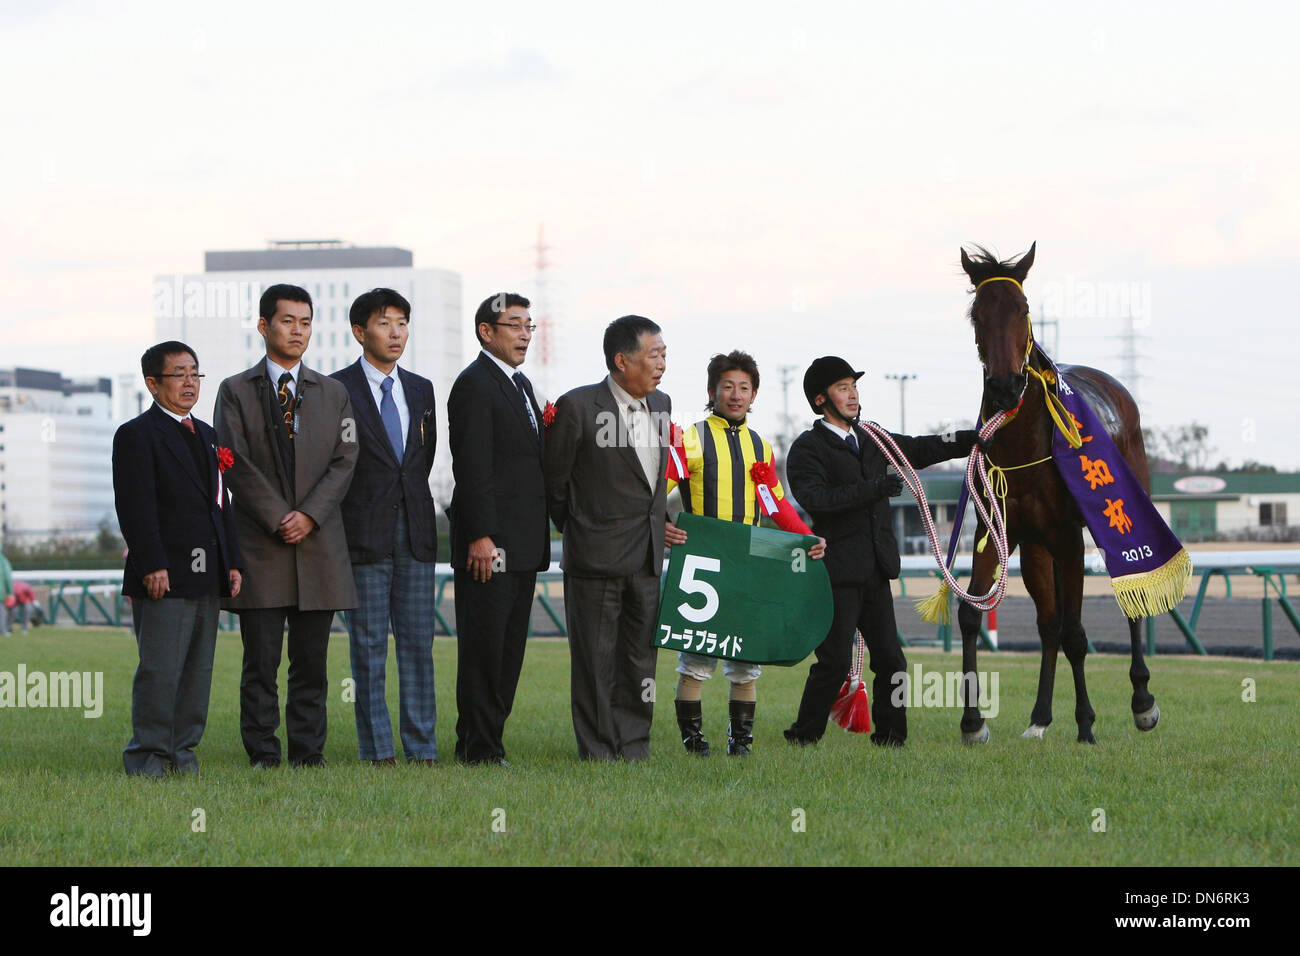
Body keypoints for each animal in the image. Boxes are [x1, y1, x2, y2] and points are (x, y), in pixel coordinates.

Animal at [956, 240, 1159, 749]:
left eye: (1024, 309)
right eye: (977, 313)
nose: (1005, 384)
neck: (1023, 445)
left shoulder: (1069, 537)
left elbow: (1076, 632)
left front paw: (1086, 722)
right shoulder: (1001, 532)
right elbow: (973, 616)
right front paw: (973, 722)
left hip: (1119, 514)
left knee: (1129, 601)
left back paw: (1142, 701)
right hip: (1036, 549)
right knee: (1047, 623)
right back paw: (1040, 716)